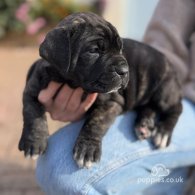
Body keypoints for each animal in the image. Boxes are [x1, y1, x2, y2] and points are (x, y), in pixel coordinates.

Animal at [19, 11, 182, 168]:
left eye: (120, 49)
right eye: (94, 51)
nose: (124, 70)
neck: (71, 83)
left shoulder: (112, 102)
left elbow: (96, 122)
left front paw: (87, 149)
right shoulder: (32, 89)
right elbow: (32, 113)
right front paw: (34, 141)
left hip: (164, 91)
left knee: (176, 107)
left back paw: (163, 132)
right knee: (150, 106)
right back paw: (144, 124)